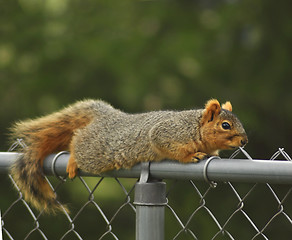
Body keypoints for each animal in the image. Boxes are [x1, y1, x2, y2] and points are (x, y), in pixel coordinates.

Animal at [9, 98, 246, 213]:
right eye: (225, 125)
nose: (244, 141)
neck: (195, 126)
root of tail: (109, 117)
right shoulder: (167, 133)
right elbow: (168, 145)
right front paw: (190, 156)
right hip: (96, 151)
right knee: (78, 140)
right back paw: (74, 159)